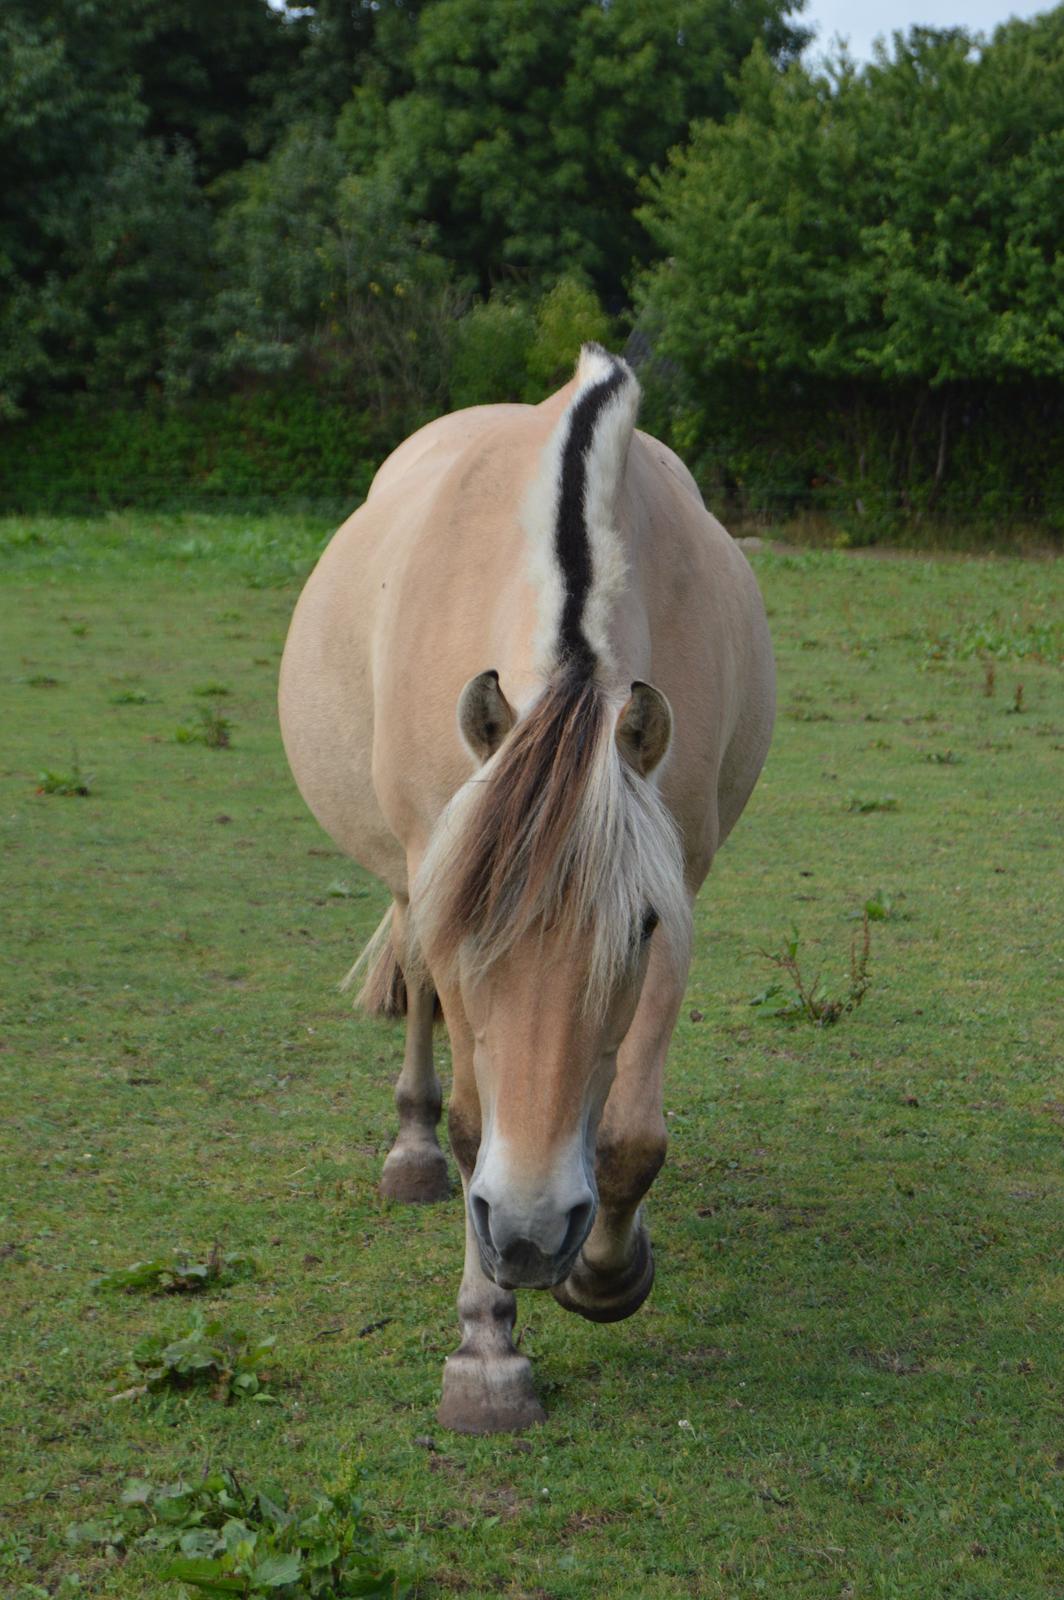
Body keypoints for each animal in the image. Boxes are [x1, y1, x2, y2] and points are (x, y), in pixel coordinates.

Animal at [275, 344, 771, 1433]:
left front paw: (605, 1271)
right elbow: (475, 1123)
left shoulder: (679, 888)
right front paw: (485, 1349)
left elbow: (629, 1132)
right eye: (472, 930)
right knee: (423, 1018)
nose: (534, 1232)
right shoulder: (441, 882)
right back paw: (412, 1152)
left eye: (636, 928)